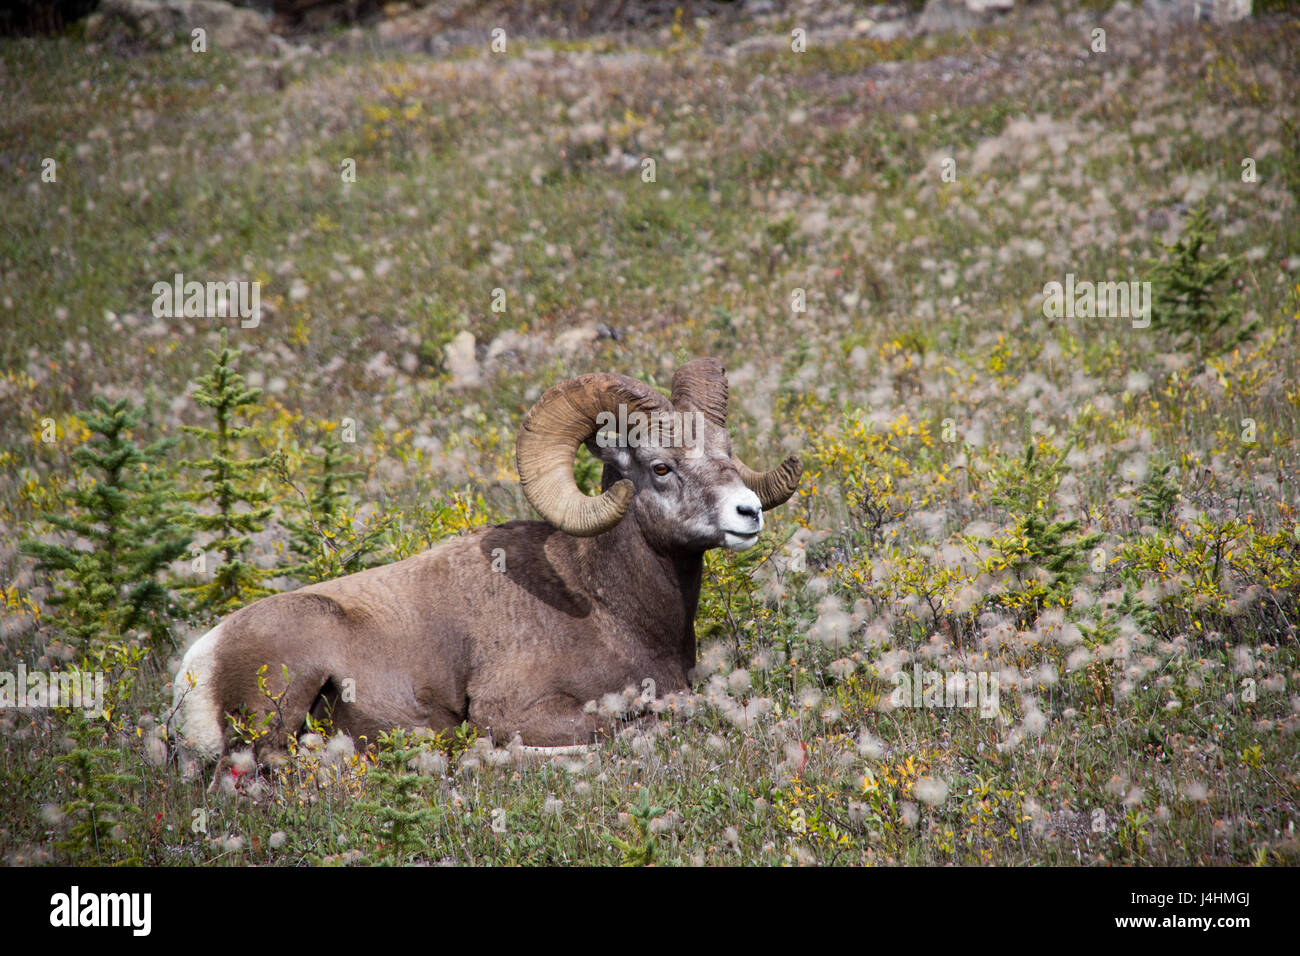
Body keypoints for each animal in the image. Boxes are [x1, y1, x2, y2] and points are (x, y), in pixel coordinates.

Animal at [170, 356, 800, 764]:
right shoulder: (516, 709)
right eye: (661, 467)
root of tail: (196, 672)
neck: (610, 608)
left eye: (726, 452)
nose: (748, 513)